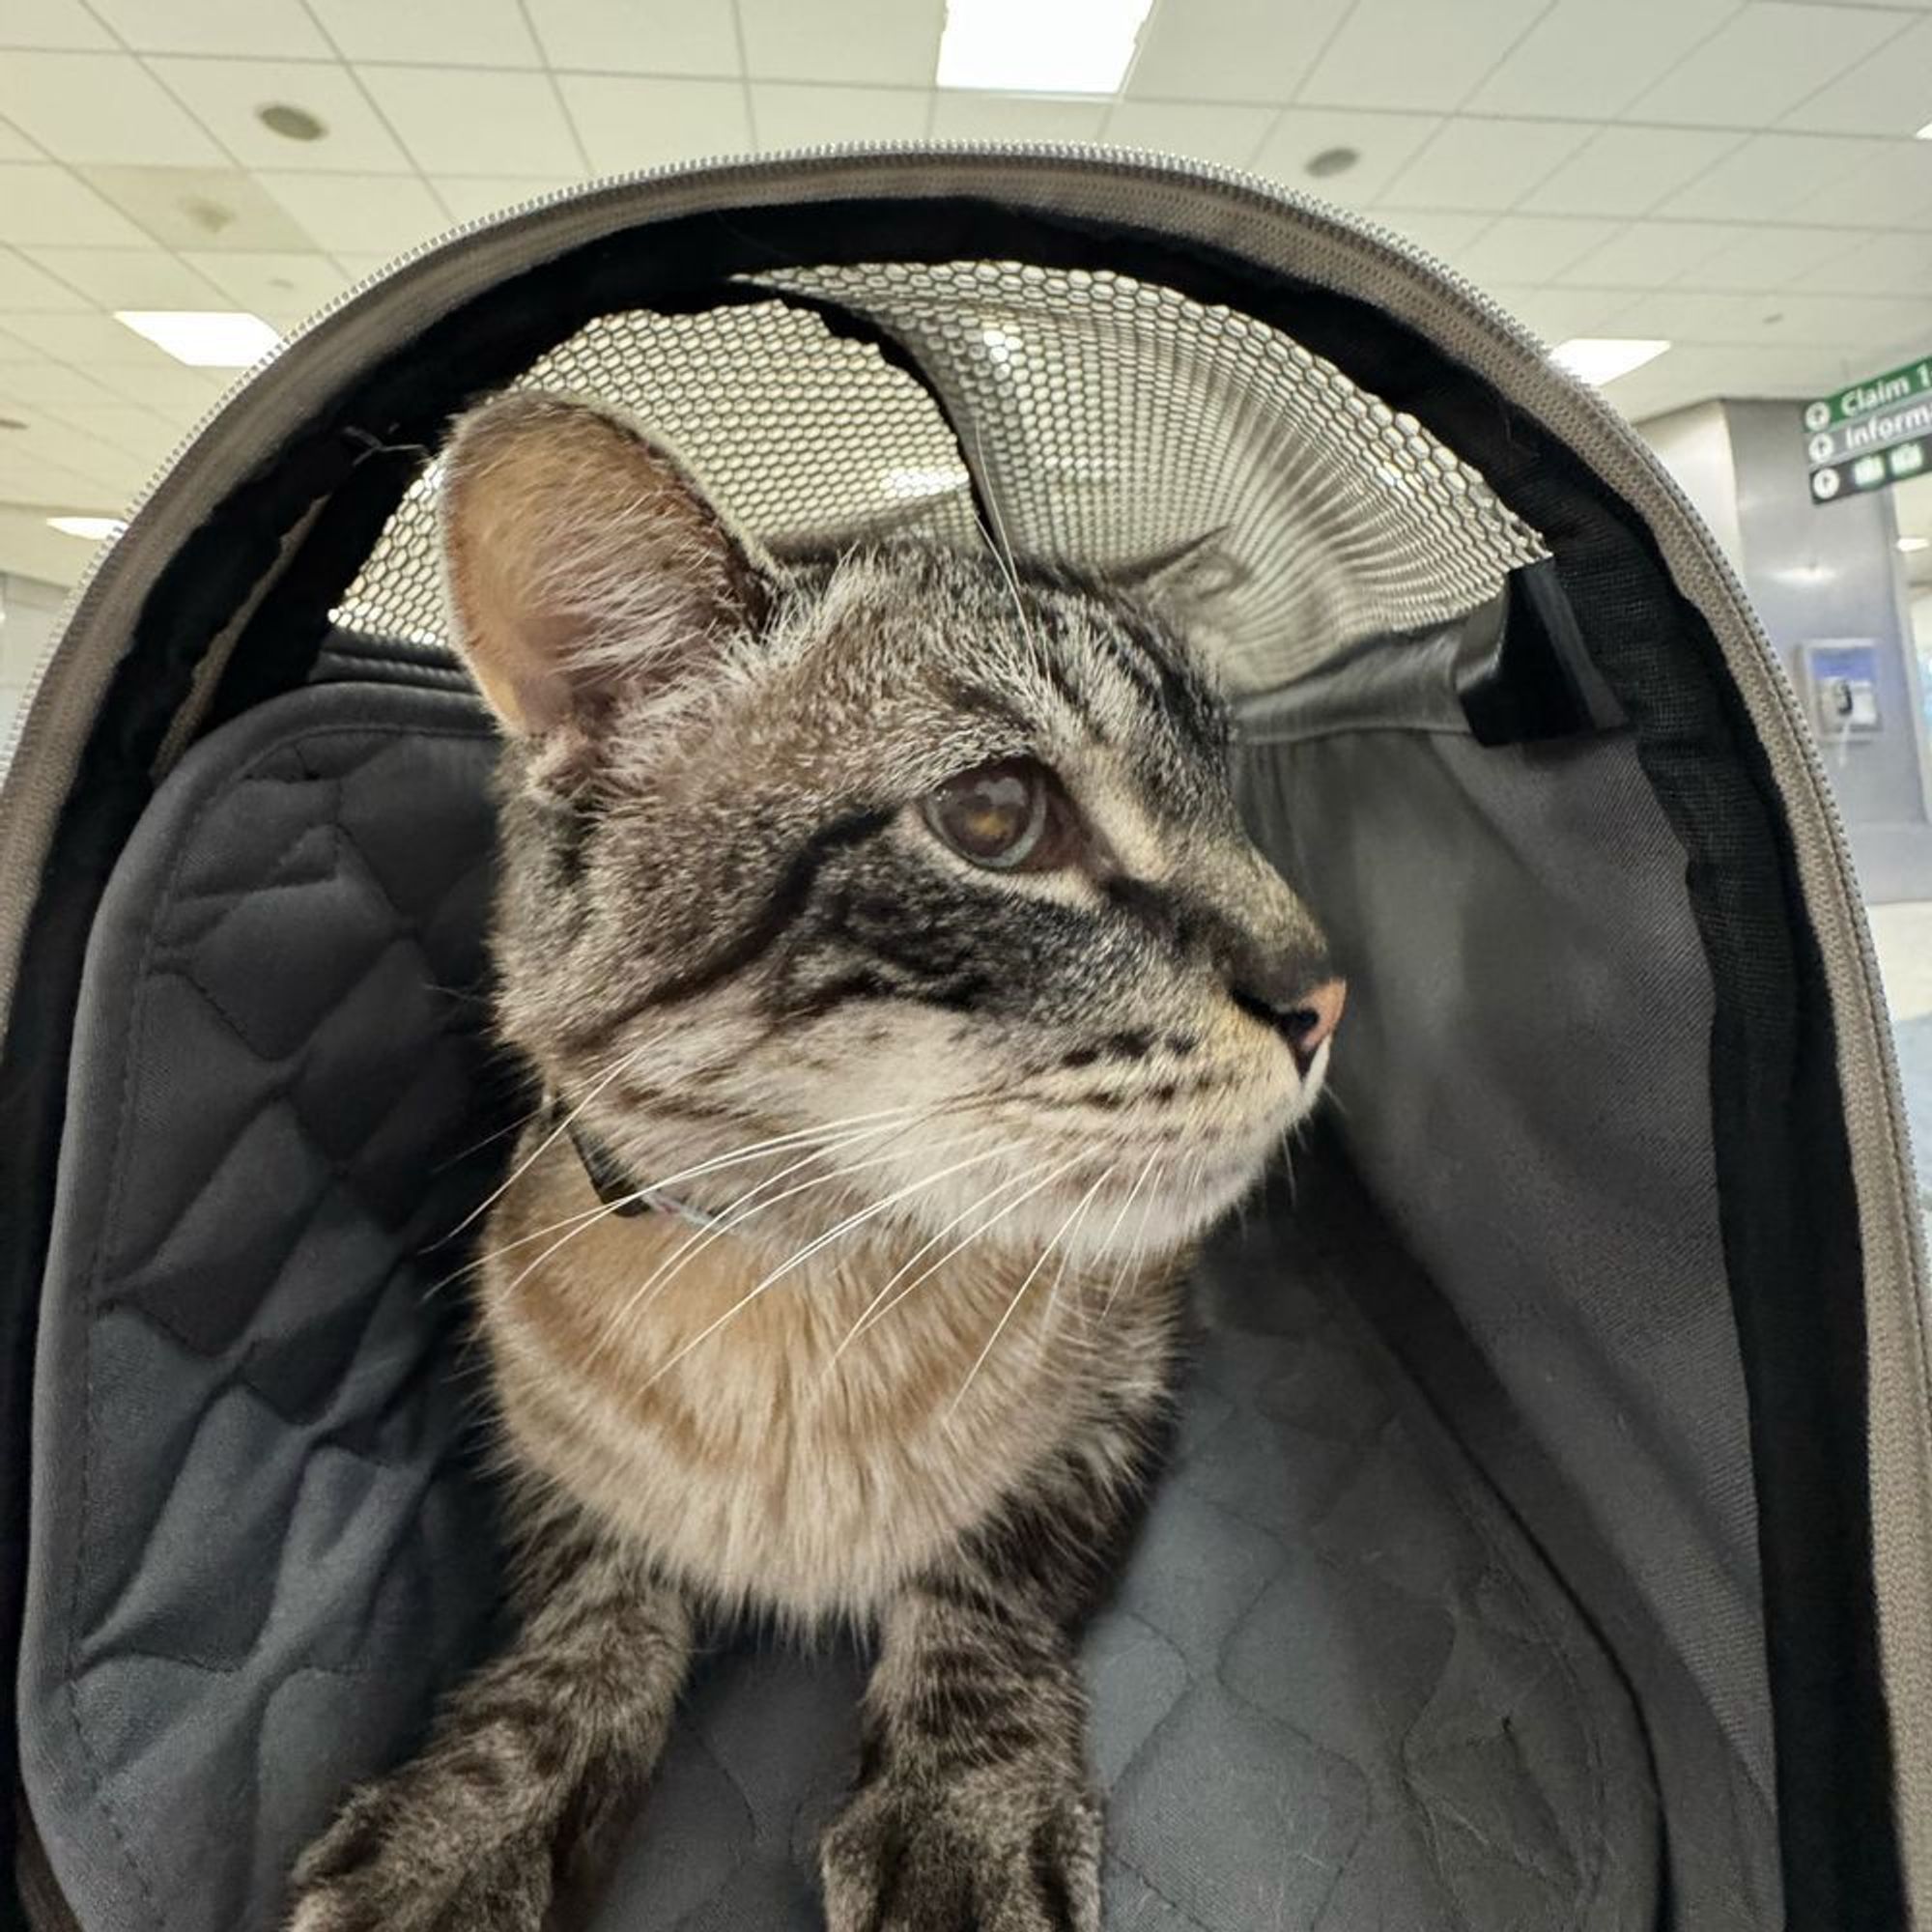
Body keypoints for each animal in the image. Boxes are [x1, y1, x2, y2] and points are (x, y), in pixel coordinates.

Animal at [286, 396, 1345, 1932]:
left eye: (1230, 794)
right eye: (997, 816)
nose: (1327, 996)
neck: (795, 1276)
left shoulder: (1123, 1386)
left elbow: (982, 1593)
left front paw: (962, 1826)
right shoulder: (551, 1465)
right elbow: (574, 1638)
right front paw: (460, 1839)